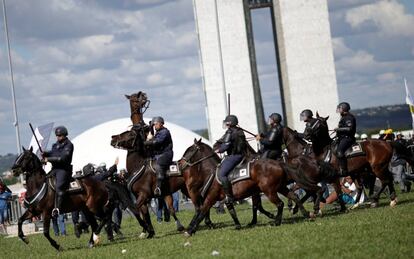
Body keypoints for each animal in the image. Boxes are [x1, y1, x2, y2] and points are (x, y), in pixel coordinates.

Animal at [181, 140, 314, 238]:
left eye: (190, 150)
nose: (180, 164)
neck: (212, 173)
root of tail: (278, 163)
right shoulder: (226, 198)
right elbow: (232, 211)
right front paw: (238, 225)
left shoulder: (211, 197)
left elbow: (202, 212)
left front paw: (190, 231)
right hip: (280, 188)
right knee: (294, 196)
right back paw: (306, 214)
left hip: (269, 191)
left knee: (280, 203)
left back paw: (277, 221)